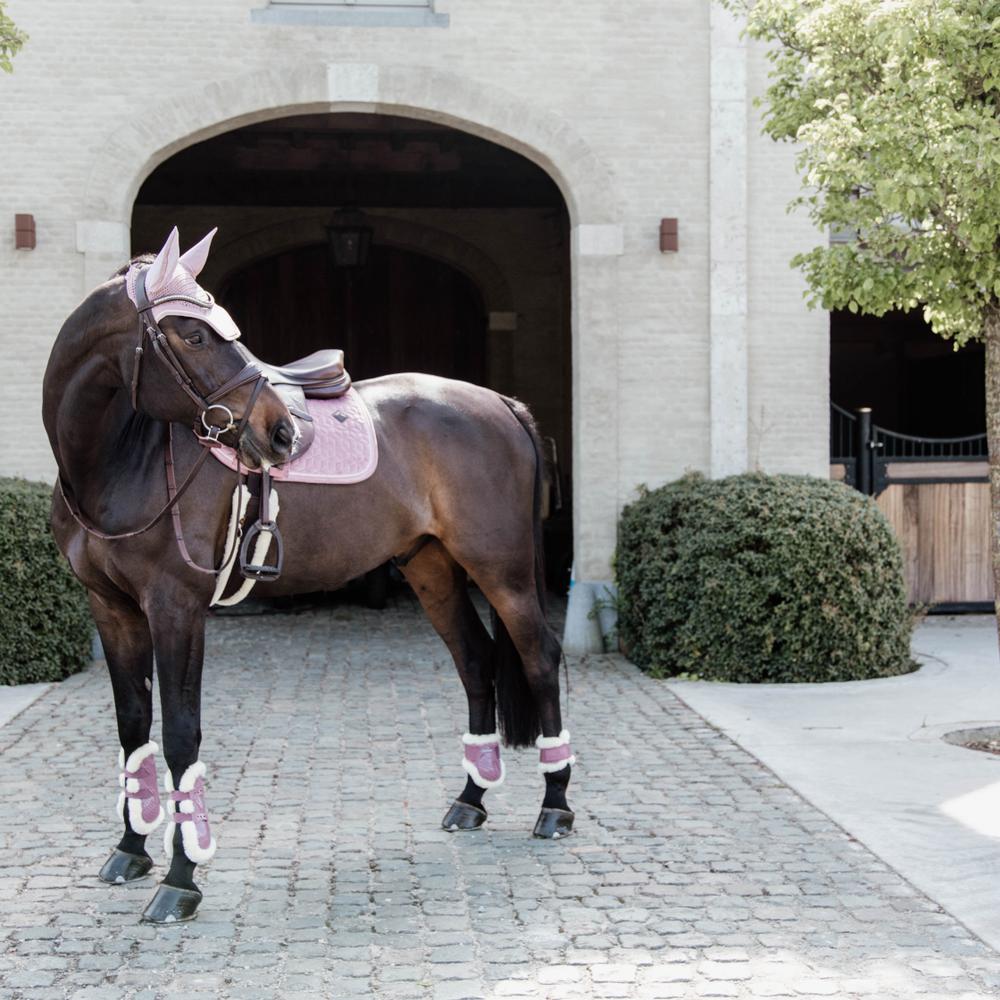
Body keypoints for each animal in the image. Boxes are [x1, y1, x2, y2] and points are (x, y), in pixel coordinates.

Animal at [43, 228, 574, 924]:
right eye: (194, 335)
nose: (280, 431)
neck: (120, 461)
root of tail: (502, 404)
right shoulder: (111, 607)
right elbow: (134, 726)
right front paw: (130, 851)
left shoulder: (175, 607)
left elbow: (181, 734)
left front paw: (181, 880)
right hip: (432, 569)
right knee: (477, 661)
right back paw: (470, 801)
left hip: (502, 570)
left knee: (539, 657)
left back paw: (556, 806)